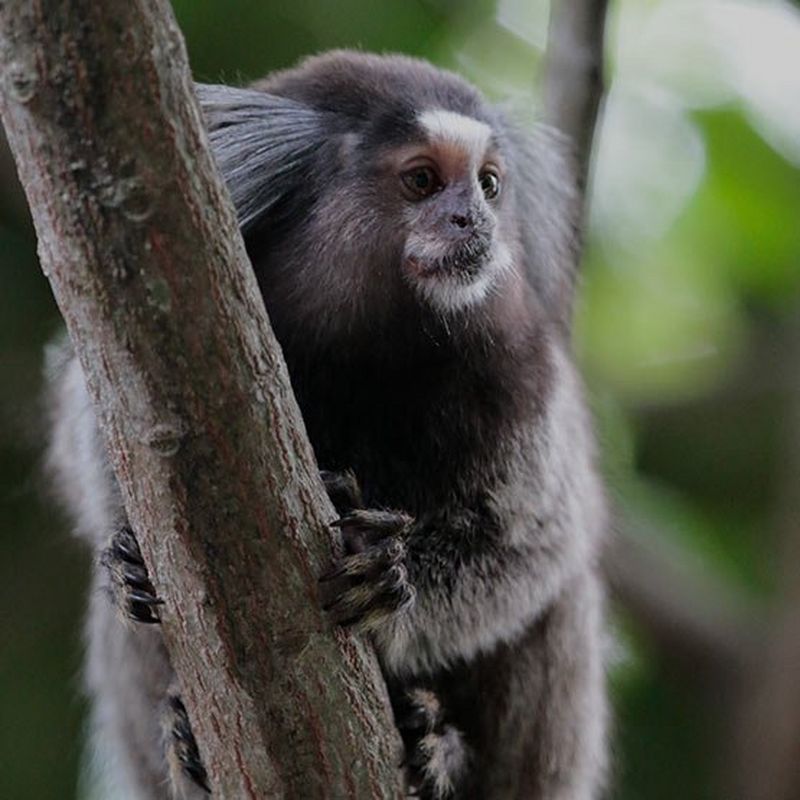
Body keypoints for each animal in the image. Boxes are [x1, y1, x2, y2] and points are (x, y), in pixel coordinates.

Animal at [45, 50, 608, 799]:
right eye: (423, 180)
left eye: (489, 186)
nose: (474, 221)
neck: (375, 350)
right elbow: (98, 447)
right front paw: (129, 562)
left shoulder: (524, 375)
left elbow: (534, 545)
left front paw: (386, 582)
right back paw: (189, 747)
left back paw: (436, 747)